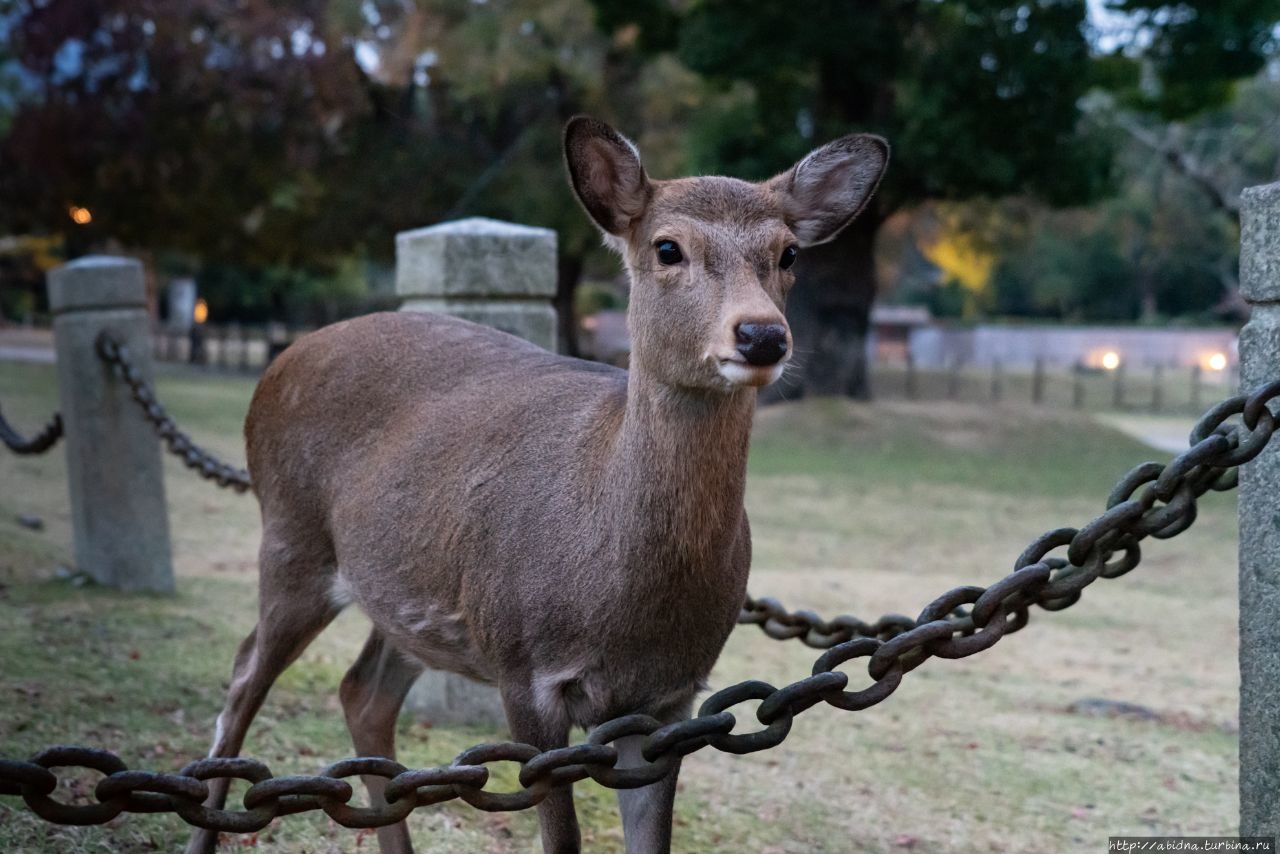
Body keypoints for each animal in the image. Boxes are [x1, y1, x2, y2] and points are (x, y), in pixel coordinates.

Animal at [186, 115, 890, 854]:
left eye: (788, 253)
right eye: (667, 247)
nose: (761, 334)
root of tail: (276, 364)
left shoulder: (671, 699)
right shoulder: (524, 667)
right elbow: (562, 837)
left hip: (408, 596)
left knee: (362, 691)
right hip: (291, 536)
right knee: (245, 674)